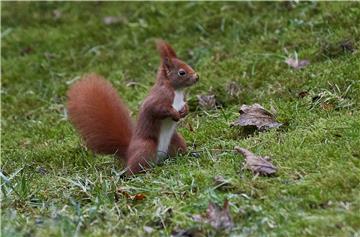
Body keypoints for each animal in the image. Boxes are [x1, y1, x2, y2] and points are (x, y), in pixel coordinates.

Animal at [67, 40, 200, 174]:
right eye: (181, 72)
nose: (197, 77)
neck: (176, 90)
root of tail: (129, 152)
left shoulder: (181, 100)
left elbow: (185, 105)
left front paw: (185, 111)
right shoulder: (159, 97)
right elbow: (156, 109)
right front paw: (175, 114)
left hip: (176, 141)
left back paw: (190, 154)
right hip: (146, 148)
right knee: (135, 168)